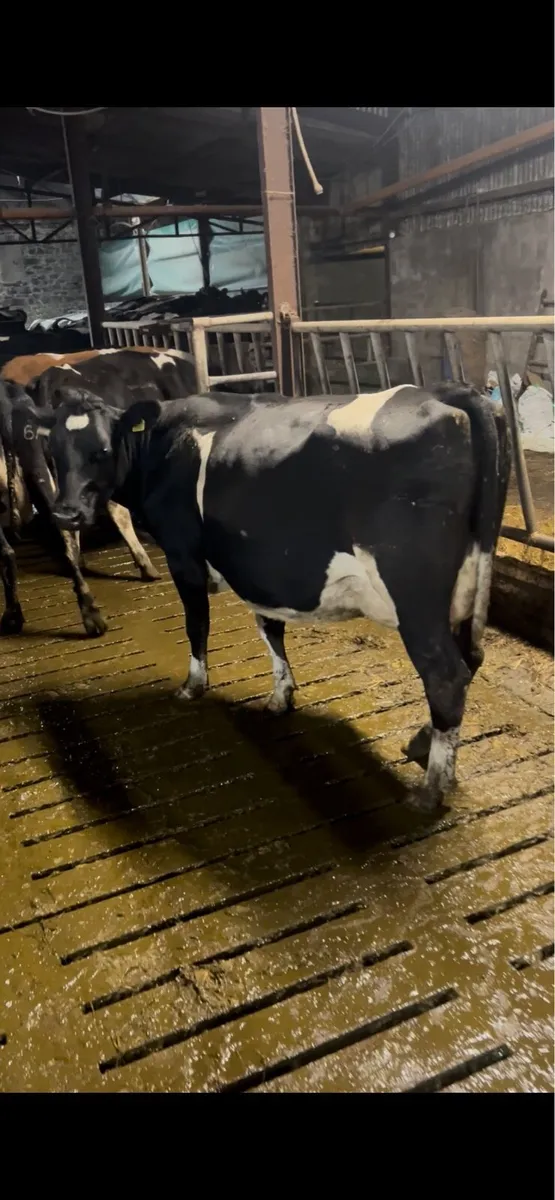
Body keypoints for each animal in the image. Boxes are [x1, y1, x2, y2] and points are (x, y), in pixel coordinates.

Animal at [23, 382, 510, 812]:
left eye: (102, 451)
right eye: (54, 453)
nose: (66, 514)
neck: (164, 443)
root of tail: (452, 393)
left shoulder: (183, 555)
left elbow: (196, 623)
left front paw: (192, 686)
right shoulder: (260, 570)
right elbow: (269, 628)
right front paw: (281, 697)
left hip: (415, 598)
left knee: (445, 676)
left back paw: (430, 791)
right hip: (467, 584)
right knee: (470, 659)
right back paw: (424, 743)